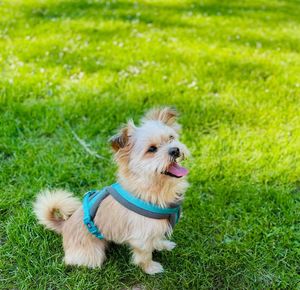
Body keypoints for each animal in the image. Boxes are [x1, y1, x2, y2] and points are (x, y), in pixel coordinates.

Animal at [33, 107, 190, 274]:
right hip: (93, 254)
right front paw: (150, 268)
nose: (175, 150)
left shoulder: (155, 229)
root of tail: (64, 226)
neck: (153, 189)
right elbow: (145, 255)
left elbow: (157, 238)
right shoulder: (141, 237)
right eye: (152, 149)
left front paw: (163, 245)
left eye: (171, 138)